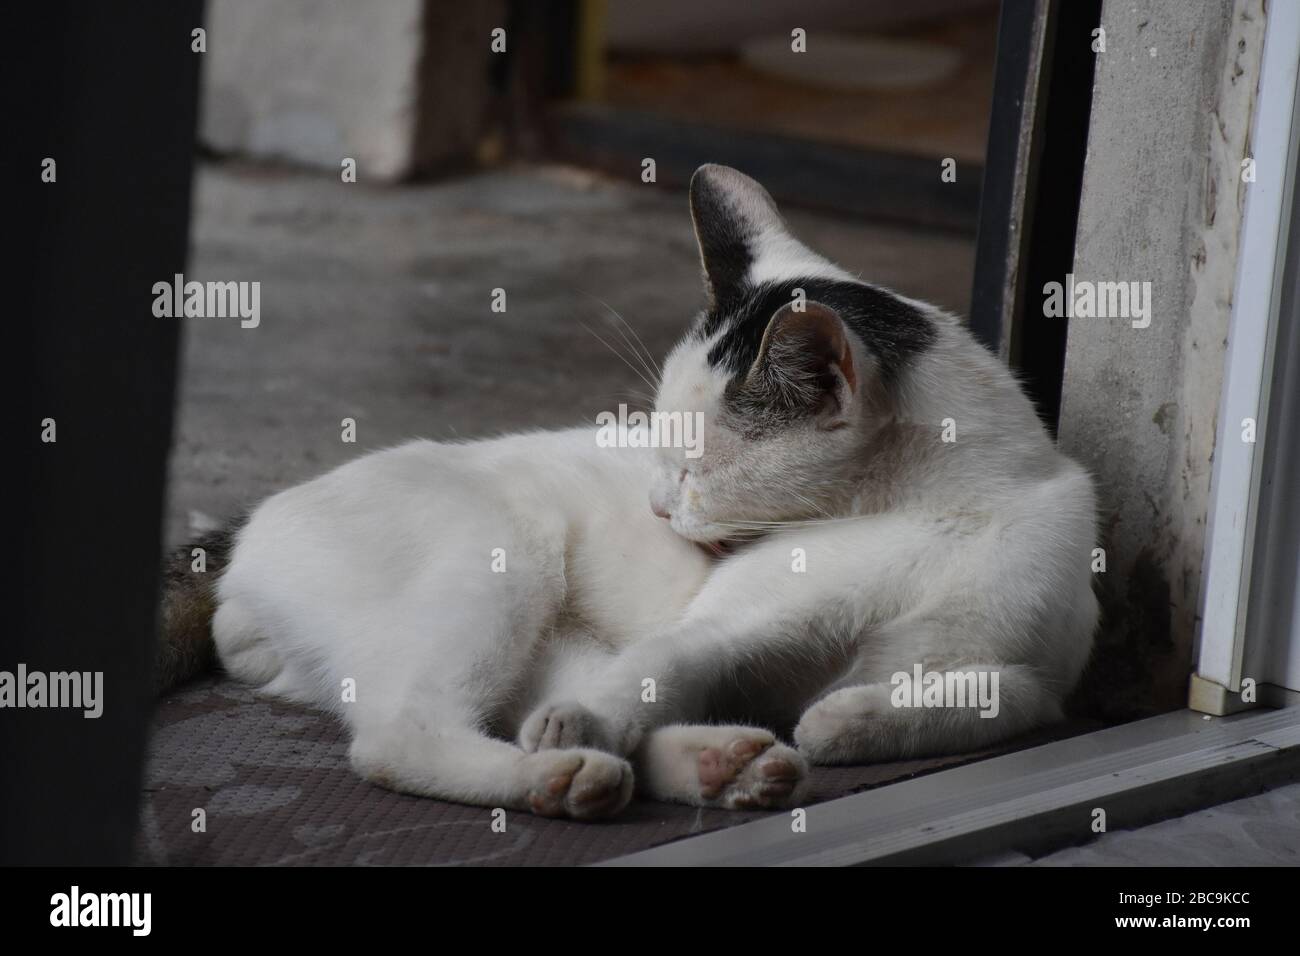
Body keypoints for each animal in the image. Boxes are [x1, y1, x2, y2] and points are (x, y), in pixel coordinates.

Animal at [159, 164, 1097, 822]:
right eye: (659, 455)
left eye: (692, 469)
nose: (656, 507)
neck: (950, 511)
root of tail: (247, 528)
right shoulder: (726, 621)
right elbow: (669, 659)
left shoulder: (1044, 682)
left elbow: (989, 699)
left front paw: (852, 717)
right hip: (505, 557)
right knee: (402, 735)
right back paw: (562, 767)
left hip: (546, 632)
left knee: (556, 704)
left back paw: (717, 764)